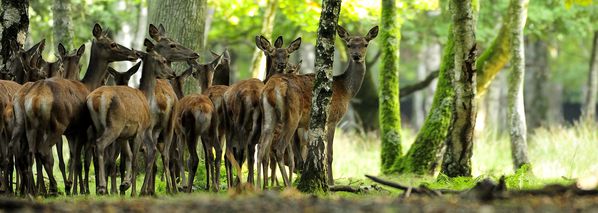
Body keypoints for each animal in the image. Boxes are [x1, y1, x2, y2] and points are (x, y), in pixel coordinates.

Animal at [16, 23, 139, 196]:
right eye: (112, 44)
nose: (134, 53)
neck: (88, 85)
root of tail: (35, 99)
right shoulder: (82, 128)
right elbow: (79, 161)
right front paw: (77, 189)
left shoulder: (72, 132)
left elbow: (74, 158)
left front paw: (74, 186)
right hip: (57, 124)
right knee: (44, 153)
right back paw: (53, 188)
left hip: (31, 126)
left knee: (30, 154)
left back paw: (32, 191)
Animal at [86, 38, 176, 196]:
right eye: (163, 60)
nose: (173, 73)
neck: (145, 96)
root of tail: (97, 99)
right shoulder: (140, 129)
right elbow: (135, 161)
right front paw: (134, 191)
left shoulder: (125, 135)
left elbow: (128, 156)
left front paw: (127, 185)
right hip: (115, 124)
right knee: (100, 144)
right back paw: (102, 187)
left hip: (96, 126)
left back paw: (101, 187)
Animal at [223, 35, 302, 188]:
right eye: (273, 54)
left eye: (288, 55)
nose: (282, 65)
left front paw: (264, 184)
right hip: (236, 125)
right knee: (237, 152)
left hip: (240, 126)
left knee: (238, 152)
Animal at [258, 25, 380, 188]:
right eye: (349, 44)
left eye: (365, 44)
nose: (356, 56)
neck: (346, 91)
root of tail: (272, 87)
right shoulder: (333, 118)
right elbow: (329, 154)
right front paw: (331, 183)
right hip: (292, 115)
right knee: (278, 148)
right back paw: (287, 186)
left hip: (268, 115)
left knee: (261, 148)